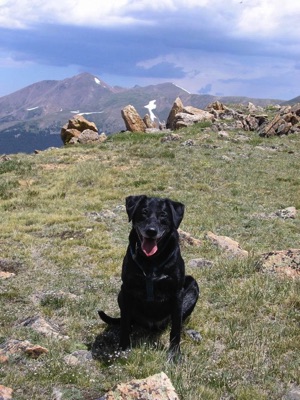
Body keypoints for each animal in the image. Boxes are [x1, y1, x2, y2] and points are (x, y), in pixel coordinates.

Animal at [98, 195, 199, 354]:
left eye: (163, 215)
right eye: (144, 212)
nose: (151, 231)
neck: (151, 260)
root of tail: (152, 325)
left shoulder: (177, 293)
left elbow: (176, 328)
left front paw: (174, 354)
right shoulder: (127, 289)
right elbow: (125, 323)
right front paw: (123, 348)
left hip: (192, 285)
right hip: (121, 295)